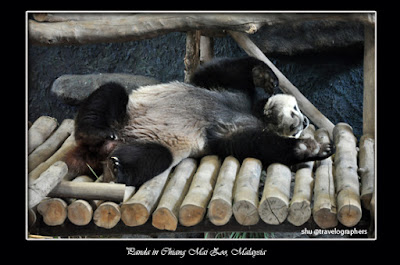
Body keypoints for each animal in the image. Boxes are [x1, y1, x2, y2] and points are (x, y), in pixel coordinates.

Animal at [65, 55, 332, 186]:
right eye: (295, 109)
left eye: (297, 129)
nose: (305, 122)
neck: (257, 115)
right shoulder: (228, 91)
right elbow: (215, 72)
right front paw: (265, 76)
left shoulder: (226, 134)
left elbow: (251, 145)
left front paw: (312, 148)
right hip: (127, 110)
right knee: (109, 94)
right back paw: (95, 132)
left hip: (151, 144)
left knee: (153, 158)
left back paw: (117, 168)